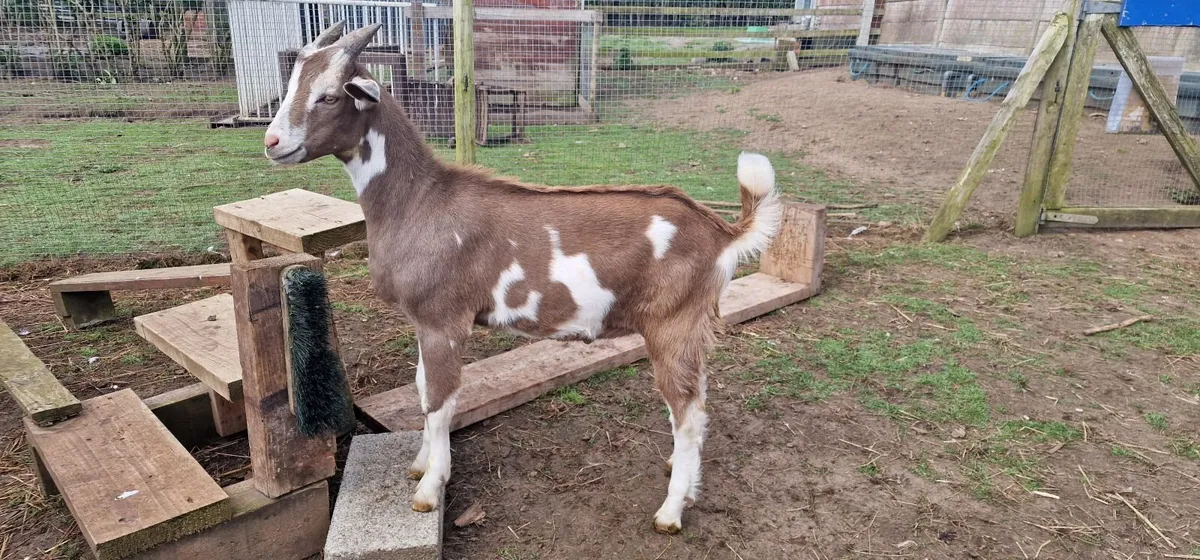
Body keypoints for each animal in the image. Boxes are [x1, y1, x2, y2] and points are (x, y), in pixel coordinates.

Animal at [263, 22, 782, 534]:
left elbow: (439, 400)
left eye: (330, 95)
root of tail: (721, 231)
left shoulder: (443, 319)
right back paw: (682, 474)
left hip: (672, 323)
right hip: (691, 328)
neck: (418, 202)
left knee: (687, 412)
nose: (271, 142)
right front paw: (420, 464)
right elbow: (421, 387)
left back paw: (671, 512)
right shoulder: (422, 320)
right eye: (291, 86)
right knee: (698, 400)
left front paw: (429, 490)